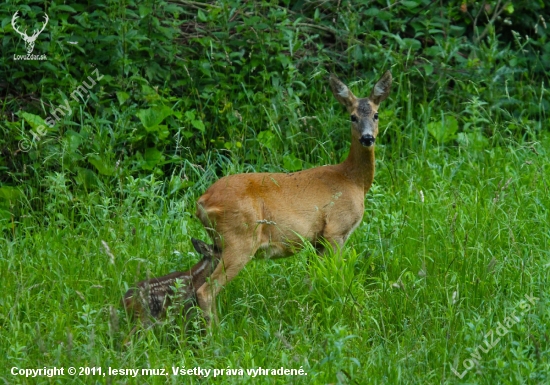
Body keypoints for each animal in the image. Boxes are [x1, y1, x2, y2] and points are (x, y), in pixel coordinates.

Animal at [194, 70, 392, 322]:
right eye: (352, 117)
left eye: (376, 114)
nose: (367, 138)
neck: (352, 180)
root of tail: (202, 201)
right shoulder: (336, 229)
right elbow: (335, 276)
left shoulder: (317, 239)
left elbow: (311, 279)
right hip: (240, 238)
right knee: (206, 290)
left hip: (219, 243)